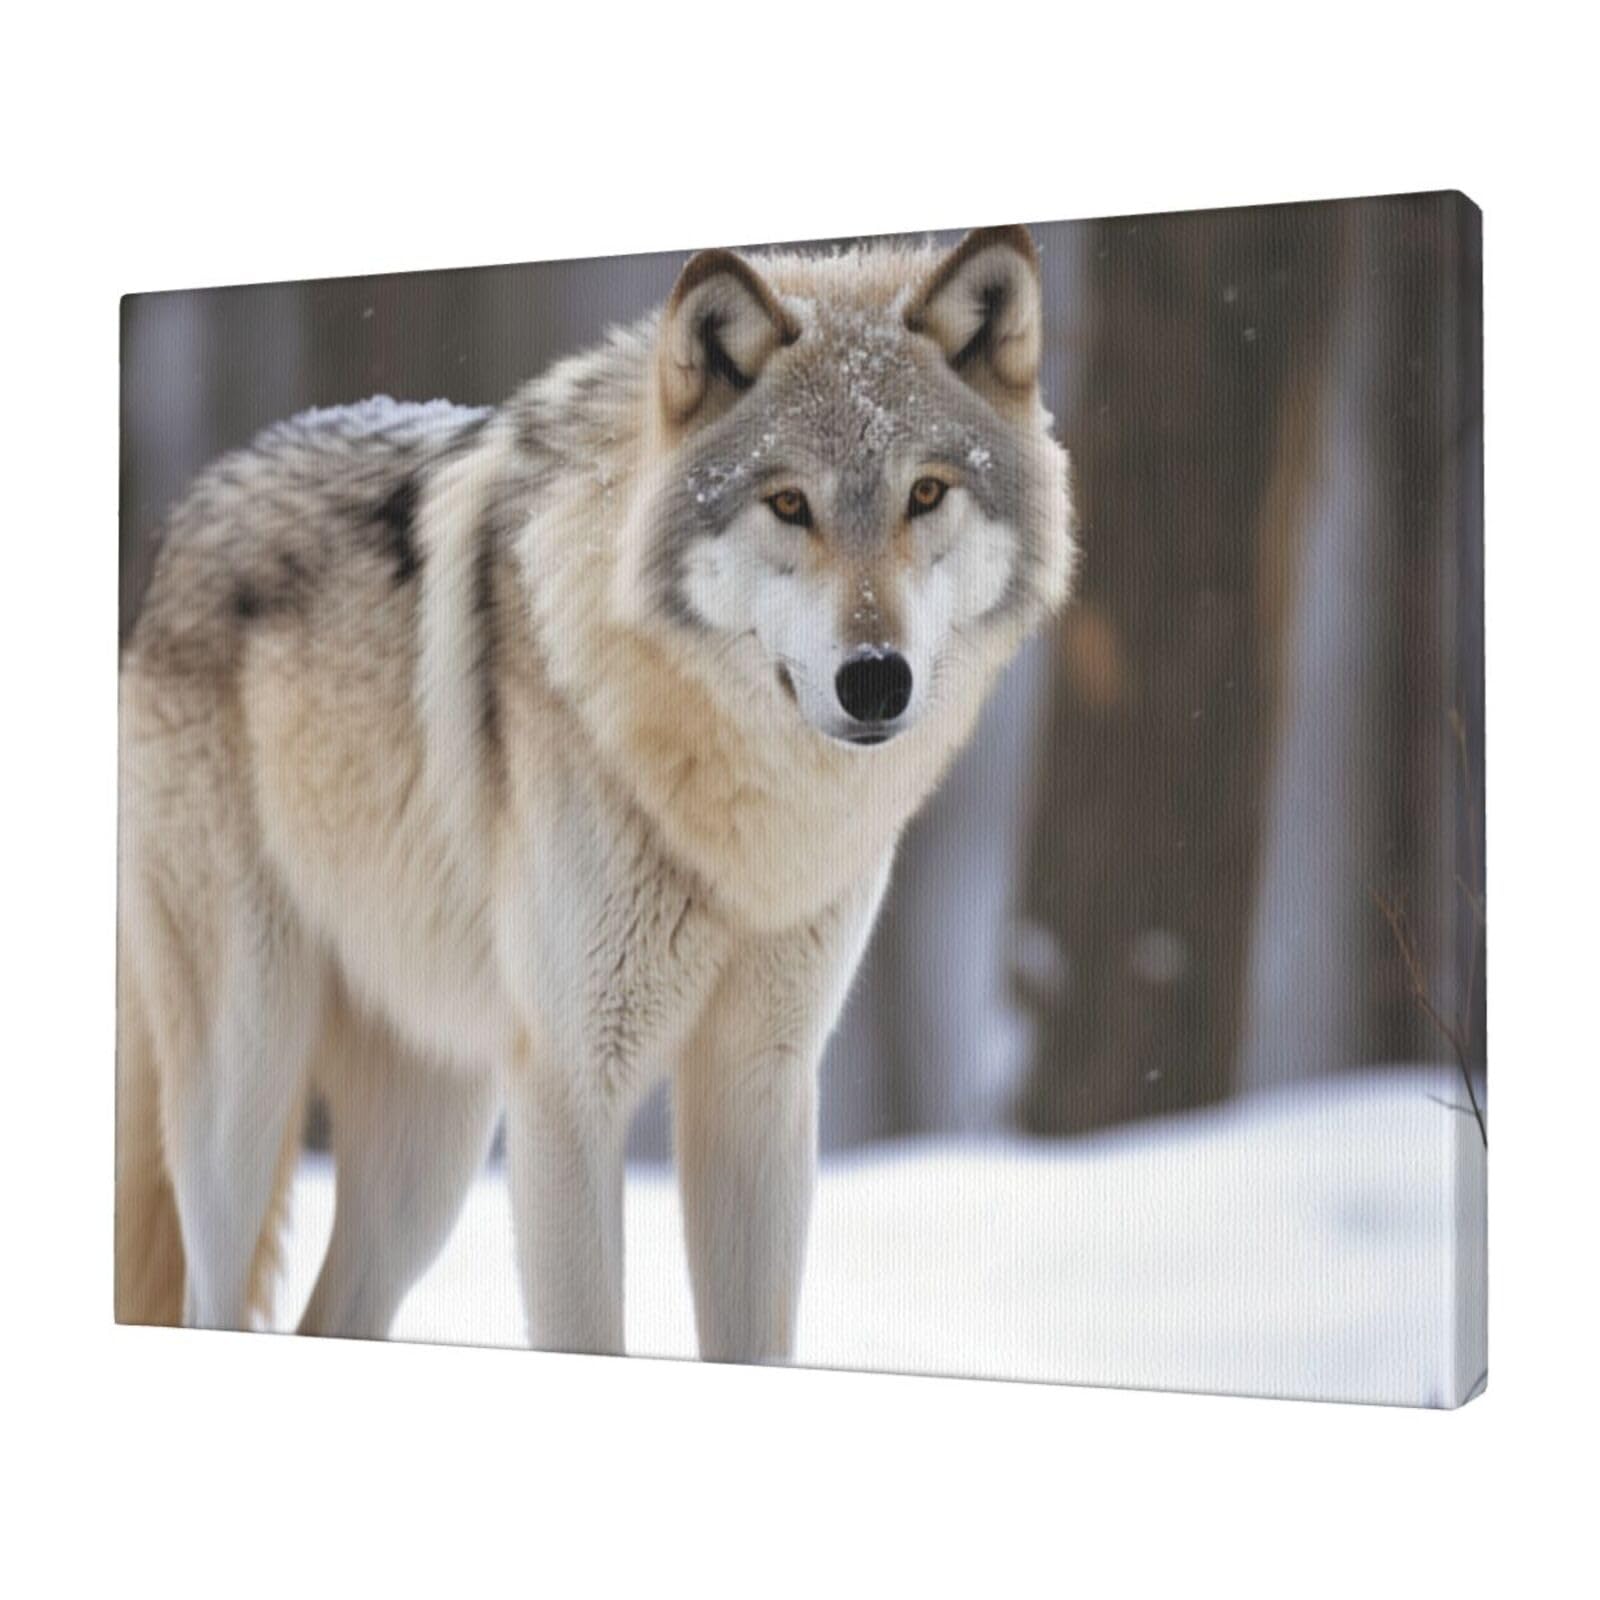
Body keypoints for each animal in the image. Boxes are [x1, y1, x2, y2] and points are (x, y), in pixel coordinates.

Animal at [117, 225, 1076, 1361]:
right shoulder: (572, 1088)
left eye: (926, 494)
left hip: (431, 1149)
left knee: (330, 1313)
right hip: (249, 1087)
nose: (876, 678)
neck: (742, 823)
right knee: (212, 1296)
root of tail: (183, 519)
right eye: (787, 503)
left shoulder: (760, 1085)